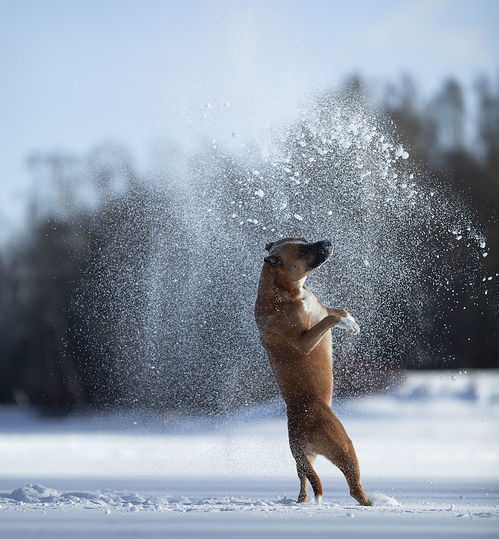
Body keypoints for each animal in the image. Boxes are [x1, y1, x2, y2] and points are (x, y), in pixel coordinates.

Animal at [258, 236, 372, 506]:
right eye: (301, 250)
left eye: (303, 239)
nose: (327, 241)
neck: (282, 290)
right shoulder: (304, 342)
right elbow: (330, 319)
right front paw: (346, 323)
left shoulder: (321, 308)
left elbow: (337, 310)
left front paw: (351, 321)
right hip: (343, 445)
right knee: (355, 487)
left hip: (306, 461)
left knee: (305, 482)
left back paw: (303, 500)